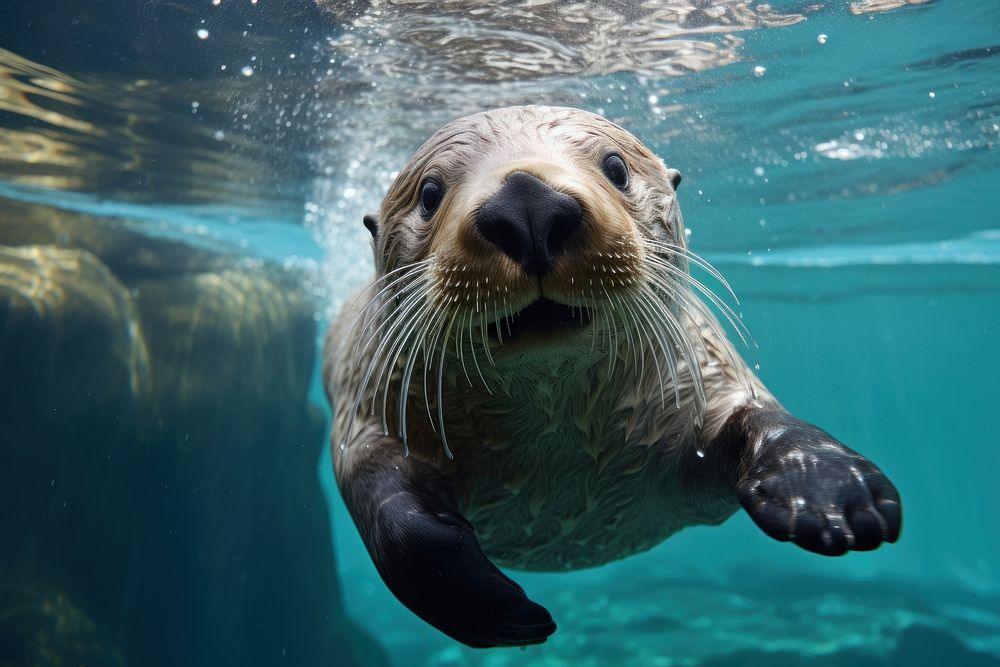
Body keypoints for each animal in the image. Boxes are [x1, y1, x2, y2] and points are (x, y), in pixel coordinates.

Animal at [324, 107, 904, 648]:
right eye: (429, 193)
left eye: (616, 167)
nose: (526, 199)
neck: (556, 460)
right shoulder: (369, 406)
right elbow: (386, 502)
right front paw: (489, 606)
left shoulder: (705, 371)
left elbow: (760, 416)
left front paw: (830, 496)